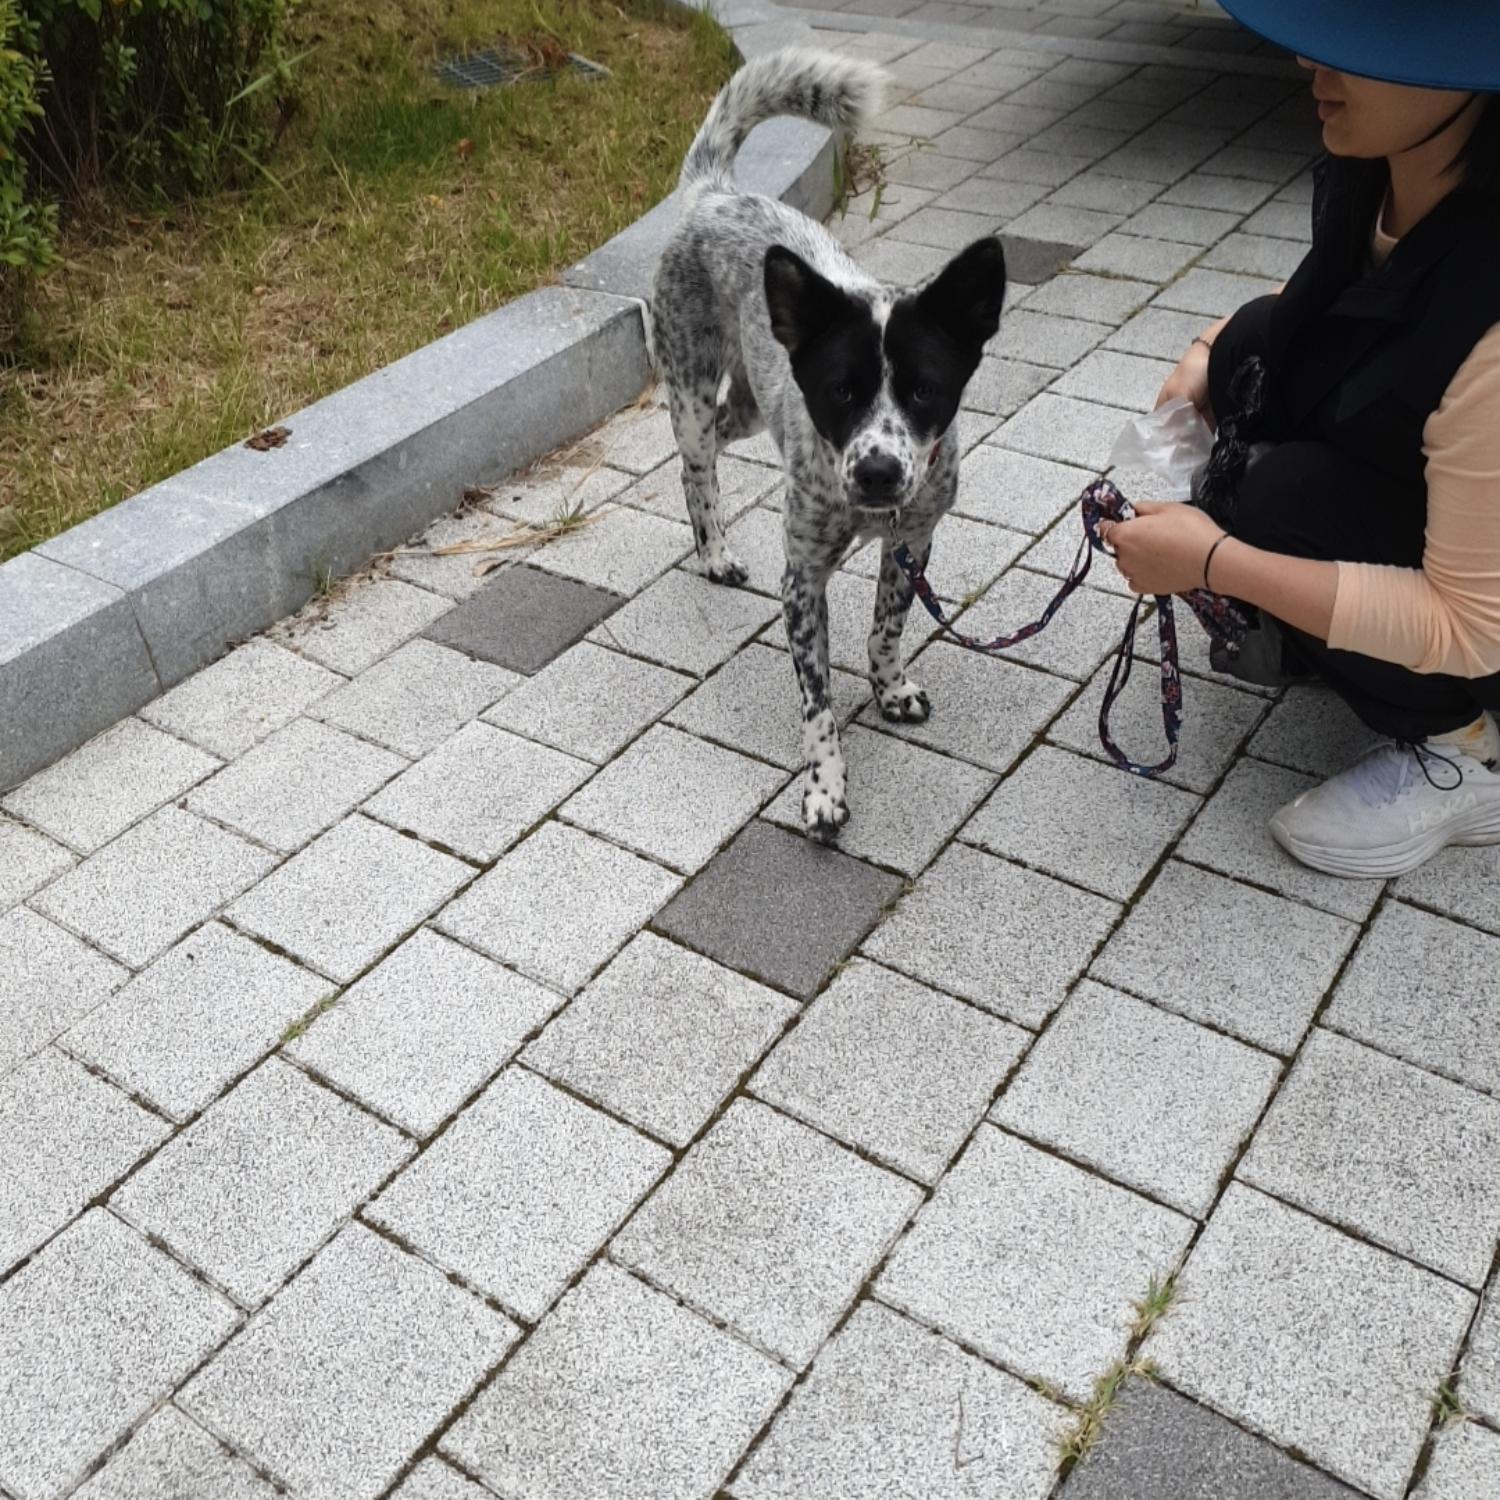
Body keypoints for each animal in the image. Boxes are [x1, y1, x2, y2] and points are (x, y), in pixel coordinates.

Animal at [657, 46, 1008, 846]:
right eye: (841, 393)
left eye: (924, 391)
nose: (877, 472)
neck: (870, 514)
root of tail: (714, 194)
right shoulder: (802, 582)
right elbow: (817, 707)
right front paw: (824, 789)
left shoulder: (912, 541)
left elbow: (884, 632)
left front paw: (890, 689)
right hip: (688, 383)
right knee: (695, 466)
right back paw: (713, 551)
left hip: (750, 406)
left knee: (718, 442)